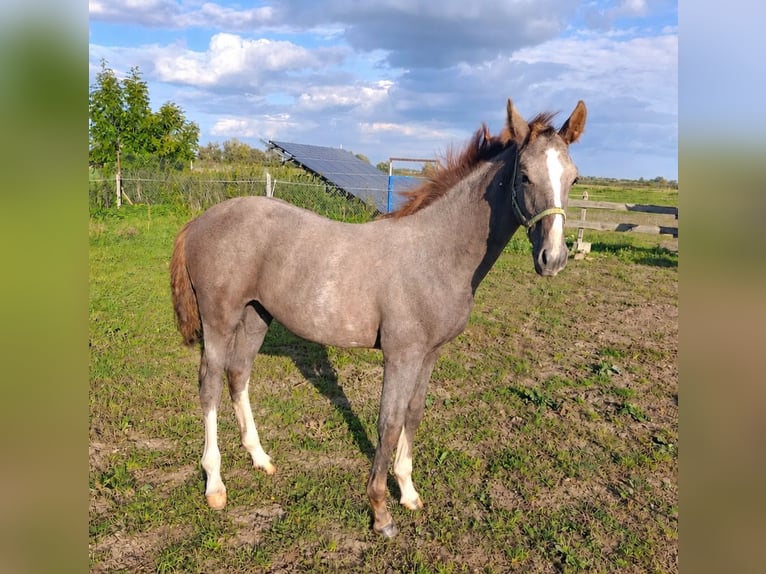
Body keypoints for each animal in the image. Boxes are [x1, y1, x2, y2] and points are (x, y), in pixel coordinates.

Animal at [170, 97, 587, 538]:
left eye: (574, 178)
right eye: (524, 176)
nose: (553, 259)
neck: (435, 251)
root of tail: (200, 221)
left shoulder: (429, 354)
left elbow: (413, 414)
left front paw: (408, 492)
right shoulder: (400, 354)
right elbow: (388, 422)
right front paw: (381, 511)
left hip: (256, 316)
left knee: (239, 375)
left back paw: (260, 458)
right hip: (219, 320)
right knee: (210, 385)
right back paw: (215, 485)